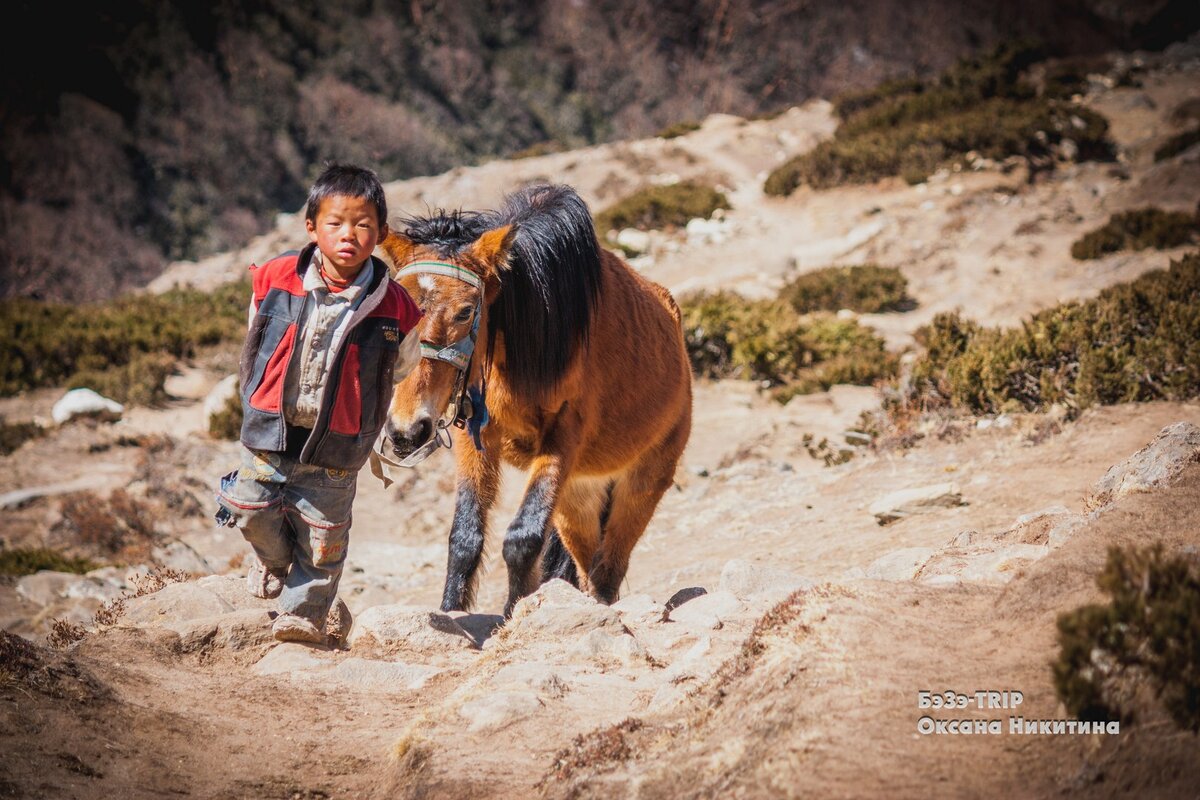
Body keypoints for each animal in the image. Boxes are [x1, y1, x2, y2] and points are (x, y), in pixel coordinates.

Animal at [379, 184, 691, 618]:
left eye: (465, 311)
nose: (407, 429)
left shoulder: (563, 436)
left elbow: (522, 538)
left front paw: (513, 615)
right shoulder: (475, 435)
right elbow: (465, 538)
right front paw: (451, 612)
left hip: (643, 481)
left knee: (607, 568)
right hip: (578, 499)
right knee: (584, 560)